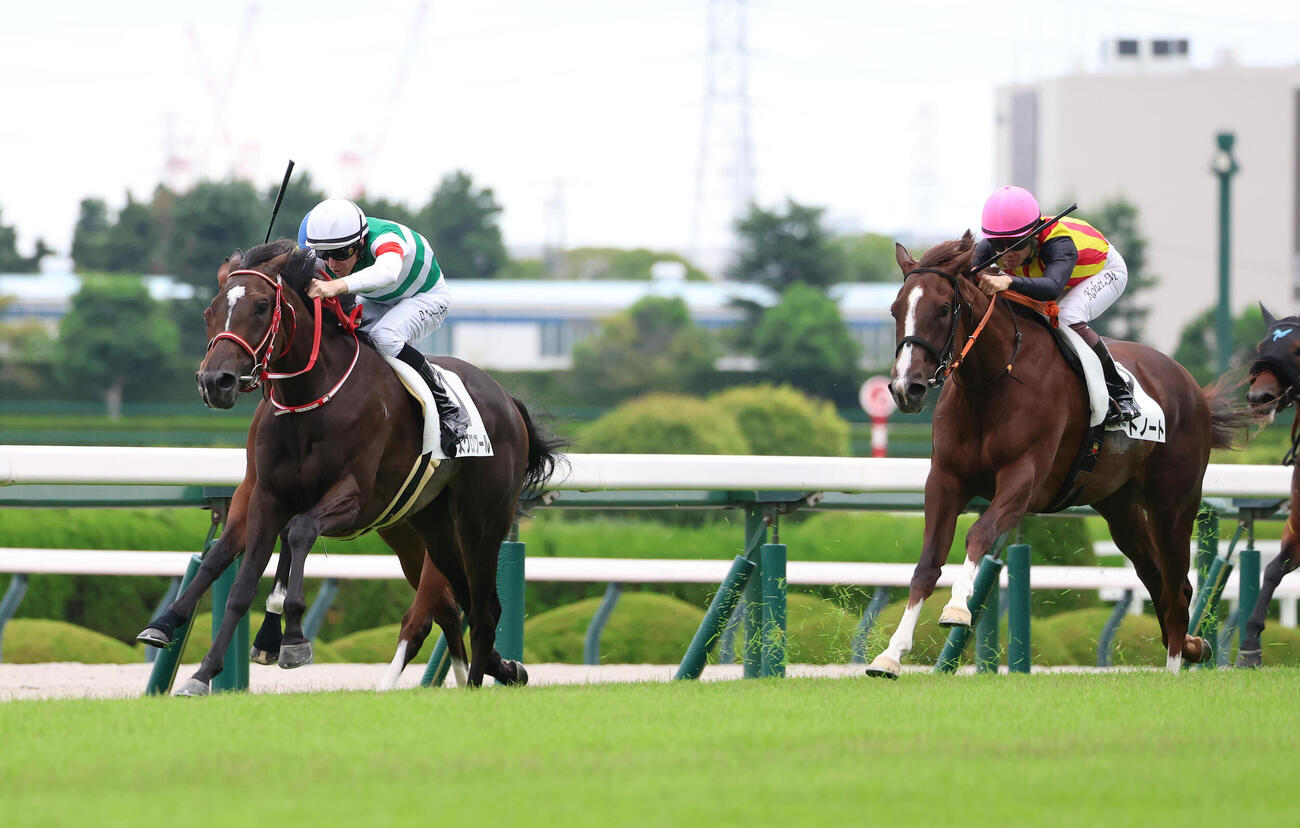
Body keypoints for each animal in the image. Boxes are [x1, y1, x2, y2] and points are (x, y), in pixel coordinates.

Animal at [137, 240, 563, 693]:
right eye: (210, 311)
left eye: (262, 306)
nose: (216, 382)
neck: (311, 396)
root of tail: (507, 399)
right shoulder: (265, 495)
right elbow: (236, 578)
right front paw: (198, 666)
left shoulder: (354, 498)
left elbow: (299, 532)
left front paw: (292, 638)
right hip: (432, 528)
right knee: (461, 604)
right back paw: (505, 669)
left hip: (481, 522)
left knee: (483, 610)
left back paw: (475, 685)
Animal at [867, 232, 1255, 677]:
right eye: (896, 310)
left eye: (944, 309)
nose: (905, 388)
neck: (993, 380)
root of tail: (1191, 386)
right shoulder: (946, 479)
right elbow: (926, 564)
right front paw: (891, 654)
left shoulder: (1023, 478)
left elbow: (980, 533)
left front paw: (957, 608)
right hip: (1119, 507)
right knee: (1155, 576)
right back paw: (1191, 647)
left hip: (1173, 504)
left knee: (1177, 584)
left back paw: (1176, 663)